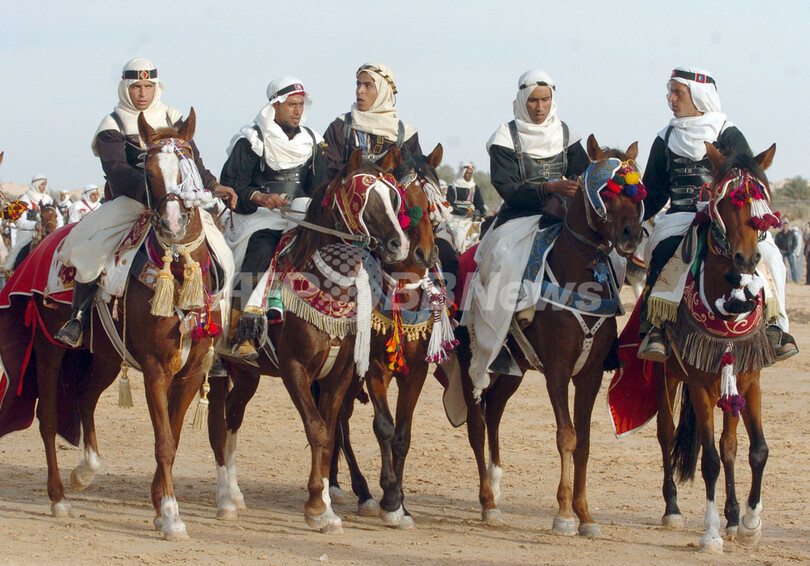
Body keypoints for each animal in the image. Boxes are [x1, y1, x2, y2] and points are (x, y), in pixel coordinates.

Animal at [0, 108, 230, 540]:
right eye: (149, 171)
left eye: (189, 162)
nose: (173, 225)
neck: (178, 271)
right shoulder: (156, 369)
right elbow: (164, 442)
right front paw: (170, 515)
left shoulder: (191, 371)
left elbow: (172, 436)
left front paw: (158, 506)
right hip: (51, 350)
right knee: (49, 418)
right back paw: (58, 497)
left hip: (104, 358)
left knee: (84, 400)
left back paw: (86, 470)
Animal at [207, 146, 411, 533]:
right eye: (363, 197)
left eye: (394, 197)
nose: (399, 244)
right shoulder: (295, 369)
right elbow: (316, 430)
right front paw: (317, 507)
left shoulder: (339, 375)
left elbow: (329, 437)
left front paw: (327, 507)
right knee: (218, 423)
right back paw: (223, 499)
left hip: (248, 373)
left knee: (233, 414)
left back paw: (235, 494)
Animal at [321, 146, 448, 527]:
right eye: (403, 200)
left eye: (436, 201)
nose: (424, 253)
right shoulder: (375, 367)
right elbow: (384, 427)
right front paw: (390, 497)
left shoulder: (417, 371)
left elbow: (402, 436)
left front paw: (402, 504)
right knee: (340, 419)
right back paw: (352, 488)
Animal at [455, 136, 644, 535]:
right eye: (606, 191)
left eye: (637, 191)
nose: (632, 235)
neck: (577, 276)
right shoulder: (557, 372)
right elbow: (566, 436)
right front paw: (564, 514)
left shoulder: (589, 375)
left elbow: (584, 441)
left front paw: (585, 514)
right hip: (470, 362)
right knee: (477, 424)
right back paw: (487, 501)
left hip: (515, 367)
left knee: (494, 410)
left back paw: (496, 480)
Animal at [653, 143, 777, 553]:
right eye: (724, 202)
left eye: (761, 202)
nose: (747, 259)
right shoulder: (699, 386)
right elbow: (708, 459)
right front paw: (710, 534)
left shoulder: (749, 381)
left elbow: (754, 450)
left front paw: (750, 522)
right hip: (667, 375)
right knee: (666, 433)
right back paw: (672, 508)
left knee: (729, 446)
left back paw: (734, 514)